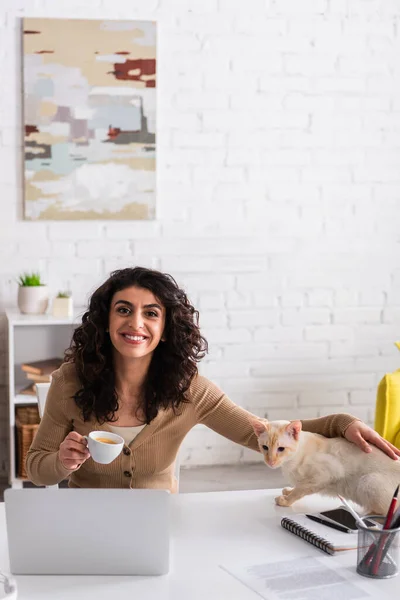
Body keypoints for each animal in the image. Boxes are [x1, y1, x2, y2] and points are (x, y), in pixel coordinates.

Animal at [253, 420, 400, 512]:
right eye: (265, 447)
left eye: (281, 449)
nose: (271, 461)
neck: (289, 463)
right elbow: (297, 487)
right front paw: (288, 491)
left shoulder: (325, 474)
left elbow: (299, 490)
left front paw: (285, 500)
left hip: (368, 481)